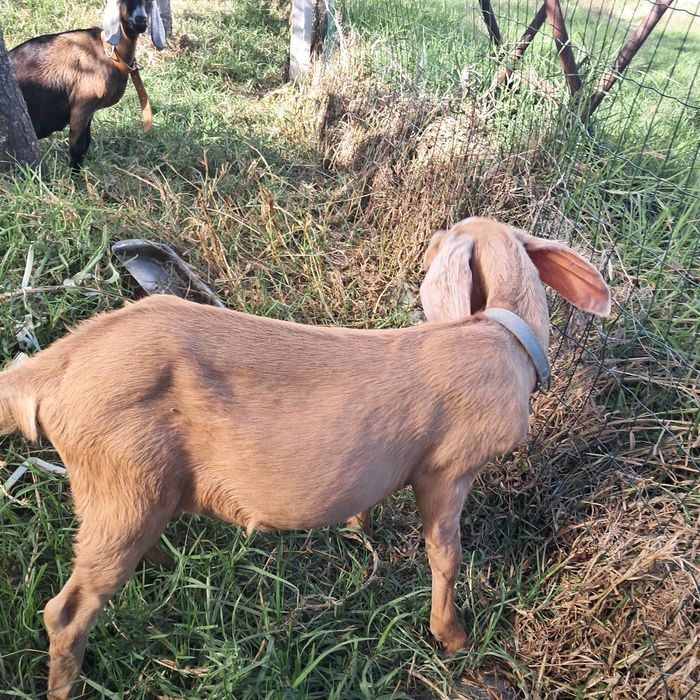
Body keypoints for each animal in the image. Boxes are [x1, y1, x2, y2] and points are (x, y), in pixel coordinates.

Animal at [0, 219, 611, 699]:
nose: (420, 260)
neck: (505, 338)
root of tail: (47, 371)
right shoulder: (447, 467)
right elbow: (446, 553)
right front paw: (454, 638)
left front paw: (362, 527)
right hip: (122, 478)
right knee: (65, 611)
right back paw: (66, 687)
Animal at [9, 0, 166, 169]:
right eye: (124, 2)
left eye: (149, 2)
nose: (140, 20)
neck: (107, 54)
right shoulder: (81, 106)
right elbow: (77, 147)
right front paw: (75, 174)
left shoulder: (90, 110)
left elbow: (86, 143)